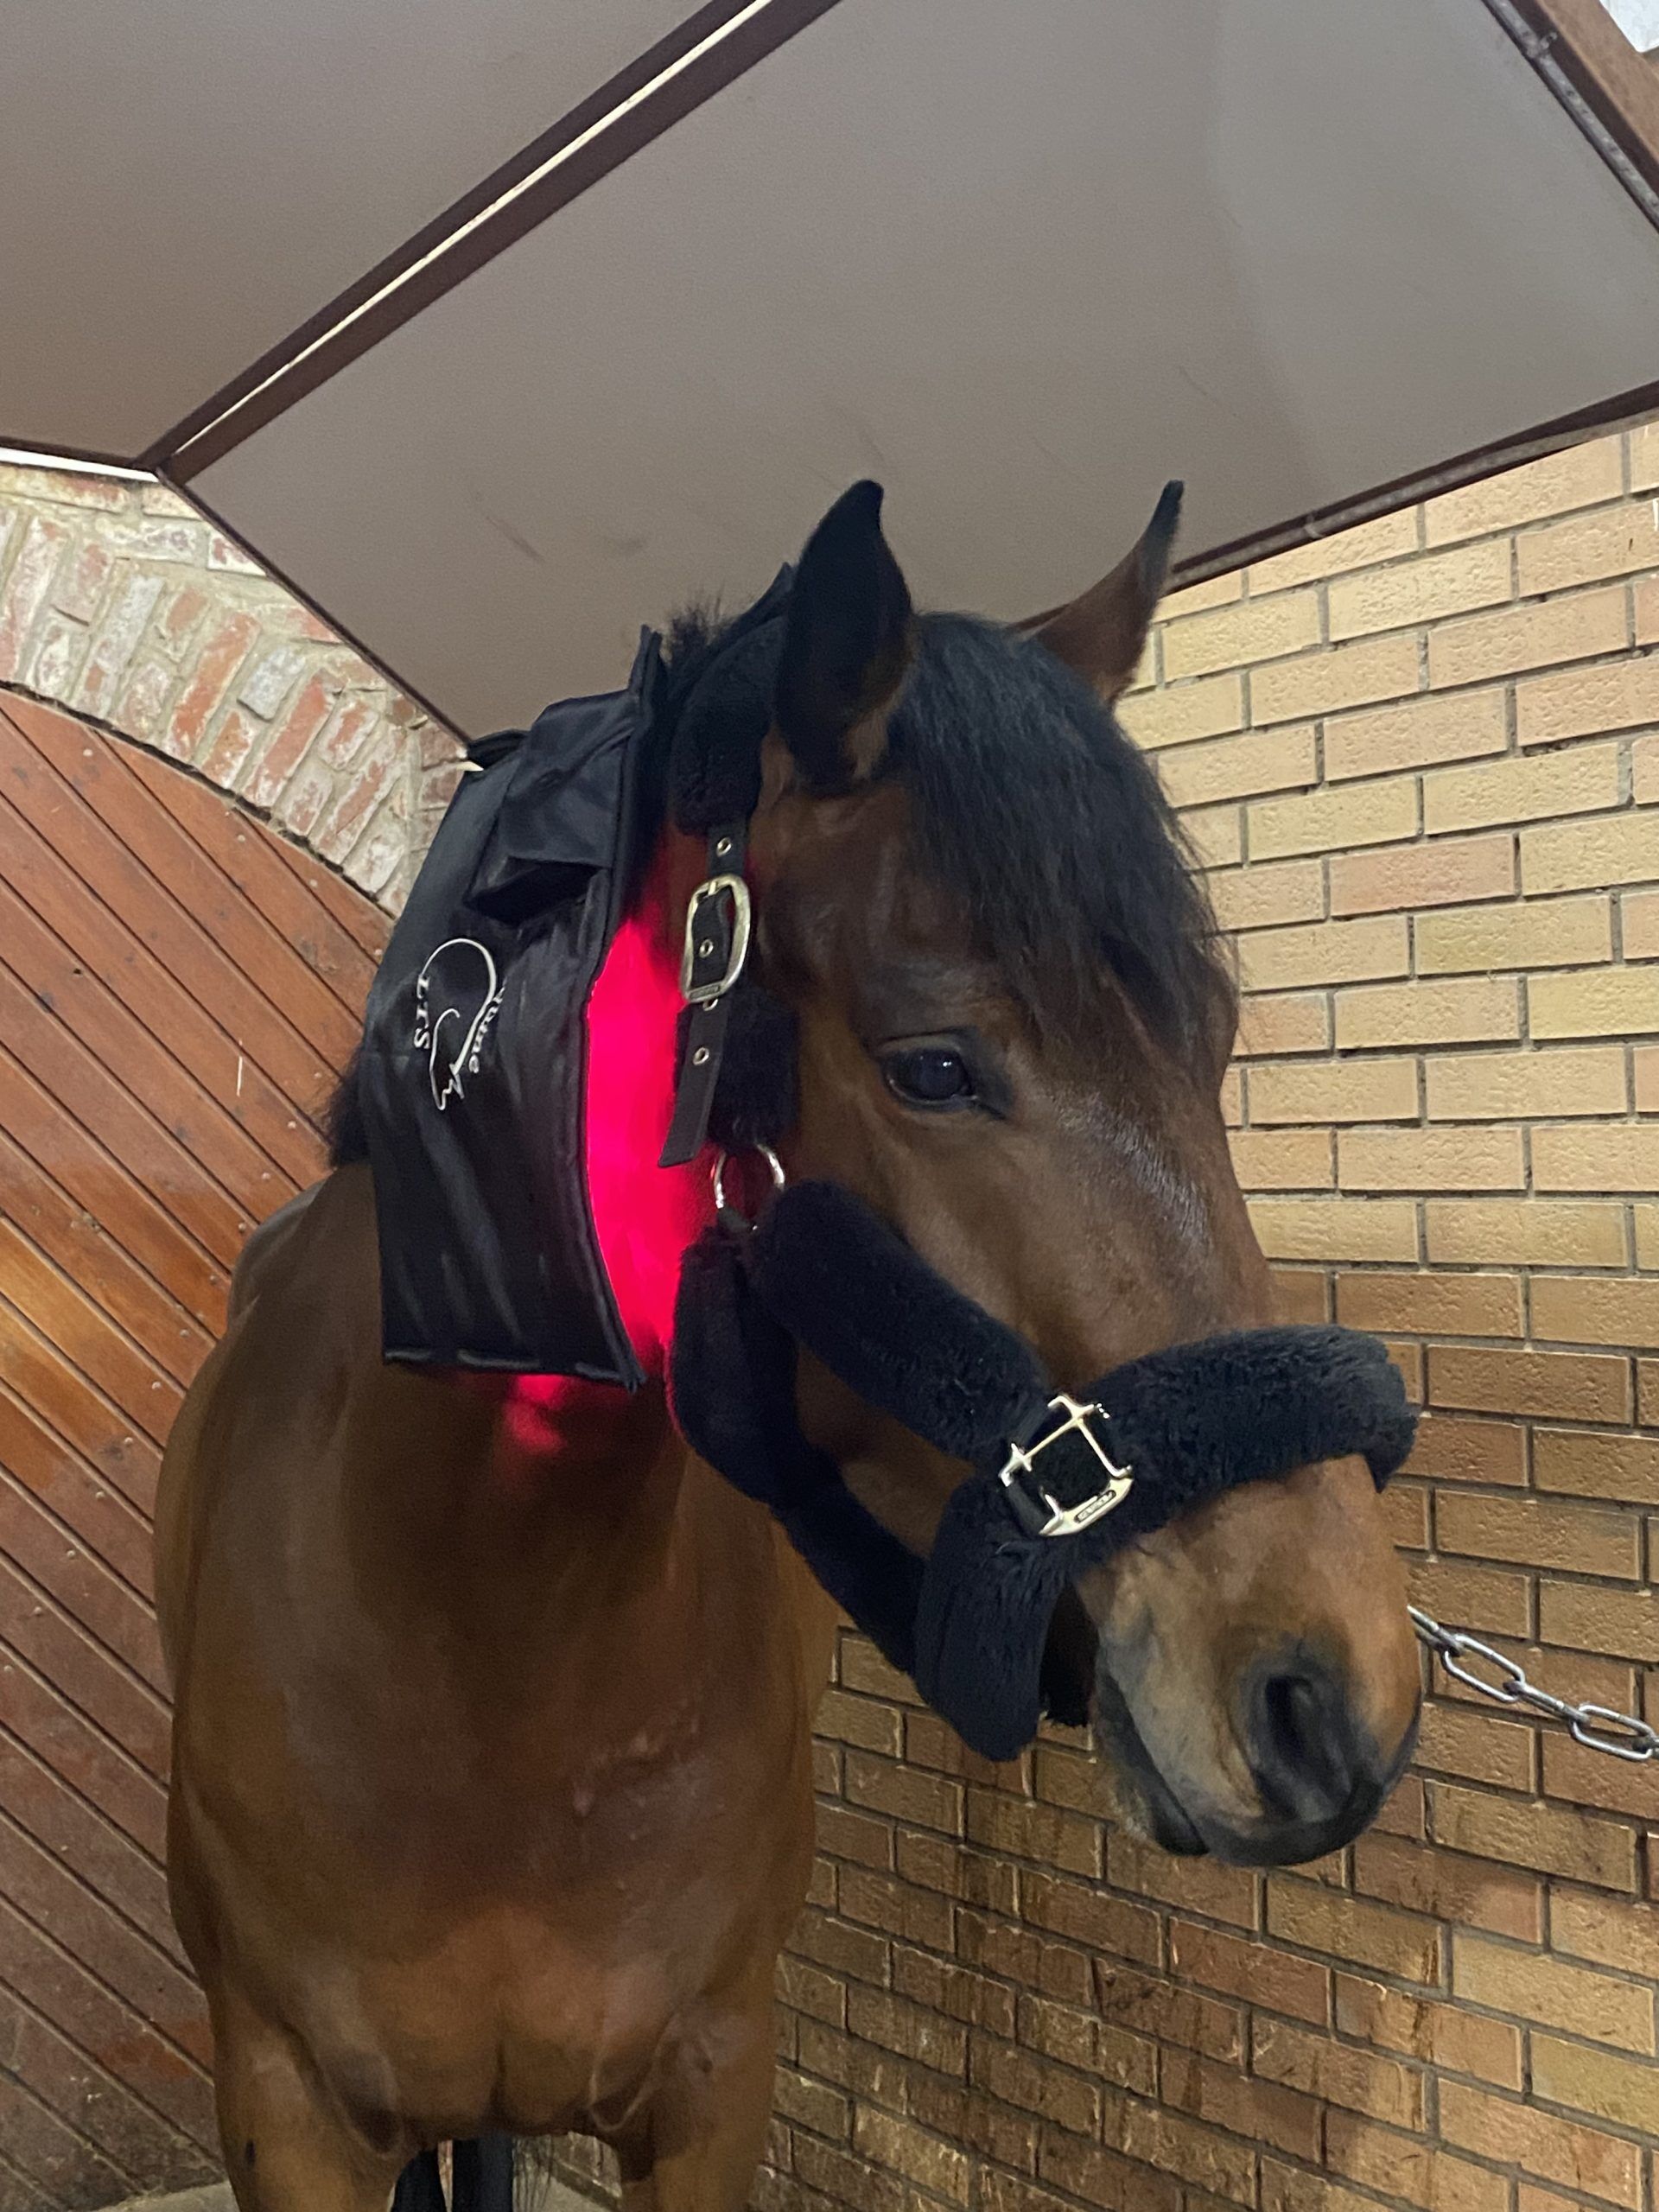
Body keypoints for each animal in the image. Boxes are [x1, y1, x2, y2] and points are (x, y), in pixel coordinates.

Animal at [155, 479, 1420, 2212]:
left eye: (1209, 1044)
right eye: (935, 1066)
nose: (1335, 1694)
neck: (481, 1647)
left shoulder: (714, 2088)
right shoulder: (288, 2113)